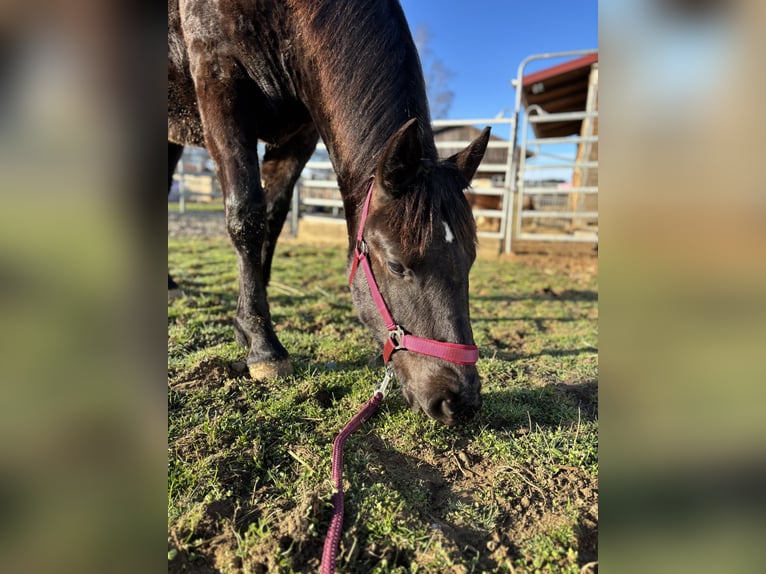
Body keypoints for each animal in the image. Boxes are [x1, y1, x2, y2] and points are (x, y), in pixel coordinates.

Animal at [168, 0, 490, 425]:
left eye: (471, 259)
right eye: (396, 264)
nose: (460, 400)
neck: (283, 16)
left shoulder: (299, 134)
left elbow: (274, 216)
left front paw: (248, 322)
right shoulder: (219, 84)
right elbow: (247, 216)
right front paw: (263, 344)